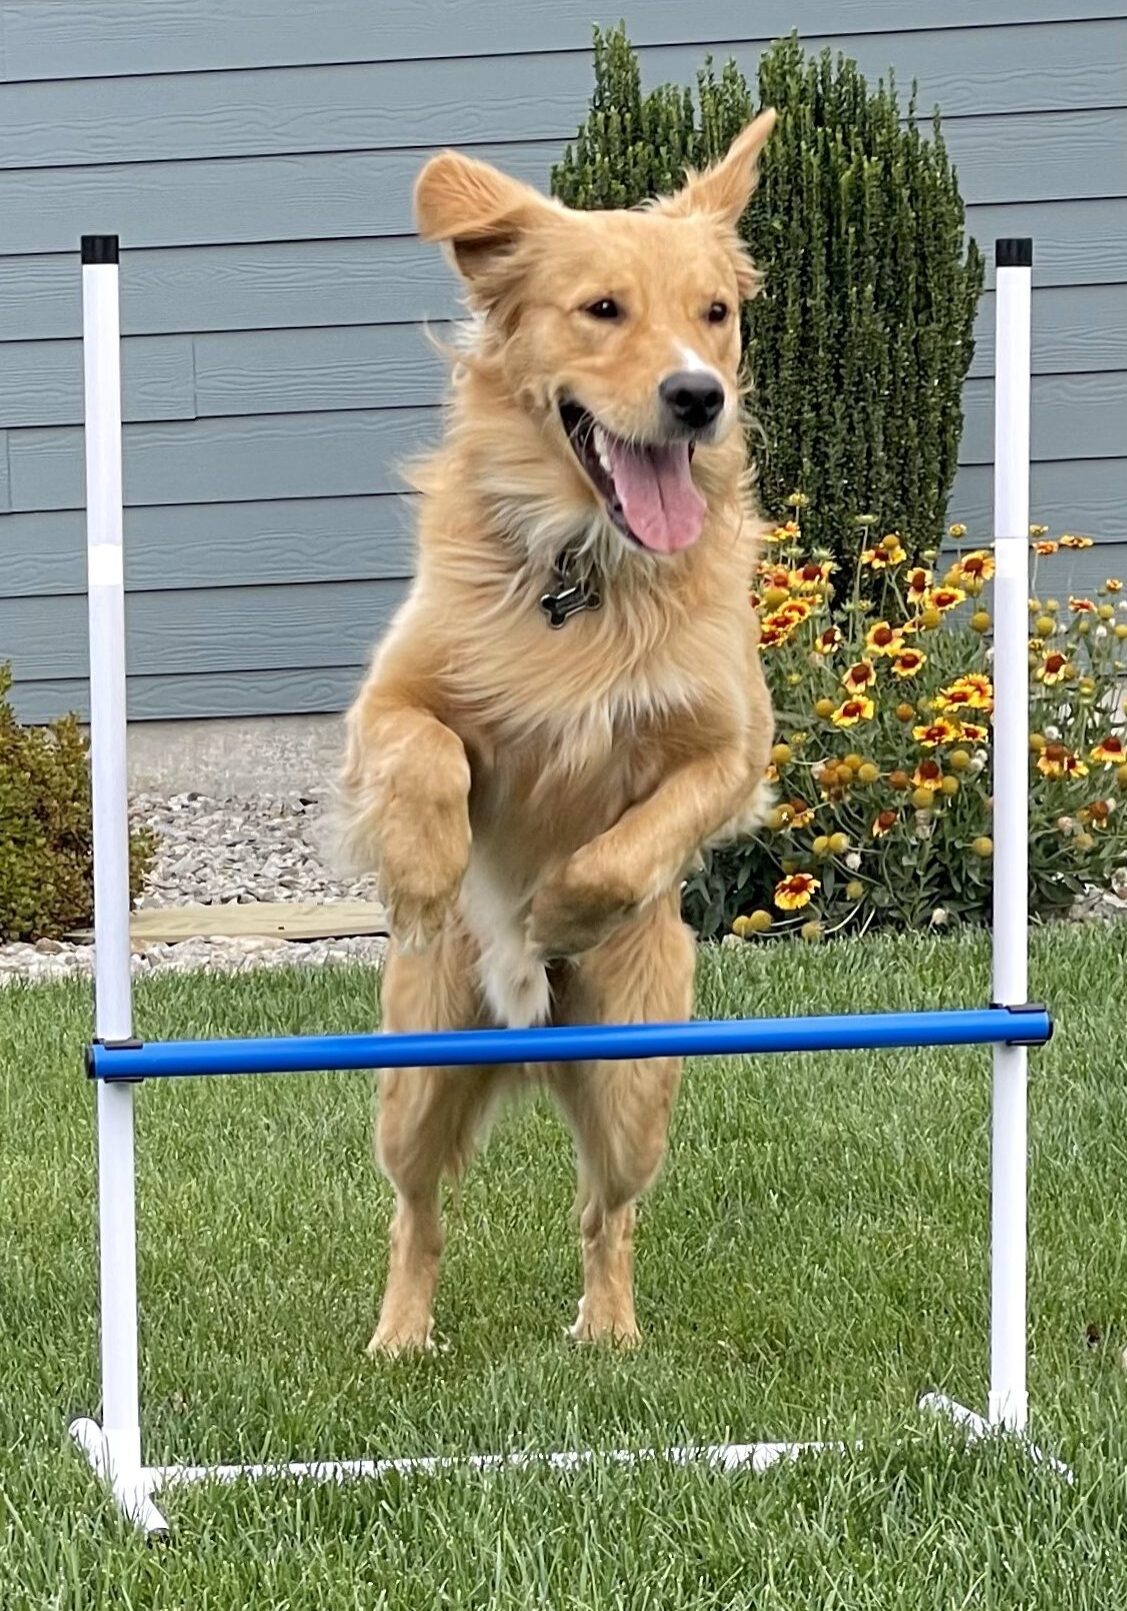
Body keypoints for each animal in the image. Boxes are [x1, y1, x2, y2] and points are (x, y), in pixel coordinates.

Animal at [339, 110, 779, 1359]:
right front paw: (431, 873)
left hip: (635, 1080)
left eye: (713, 313)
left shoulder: (735, 747)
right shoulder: (388, 698)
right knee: (415, 1211)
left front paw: (553, 916)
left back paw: (610, 1337)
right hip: (416, 1073)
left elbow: (633, 842)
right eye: (601, 309)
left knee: (604, 1213)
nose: (696, 397)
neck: (588, 562)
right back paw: (398, 1341)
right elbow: (427, 753)